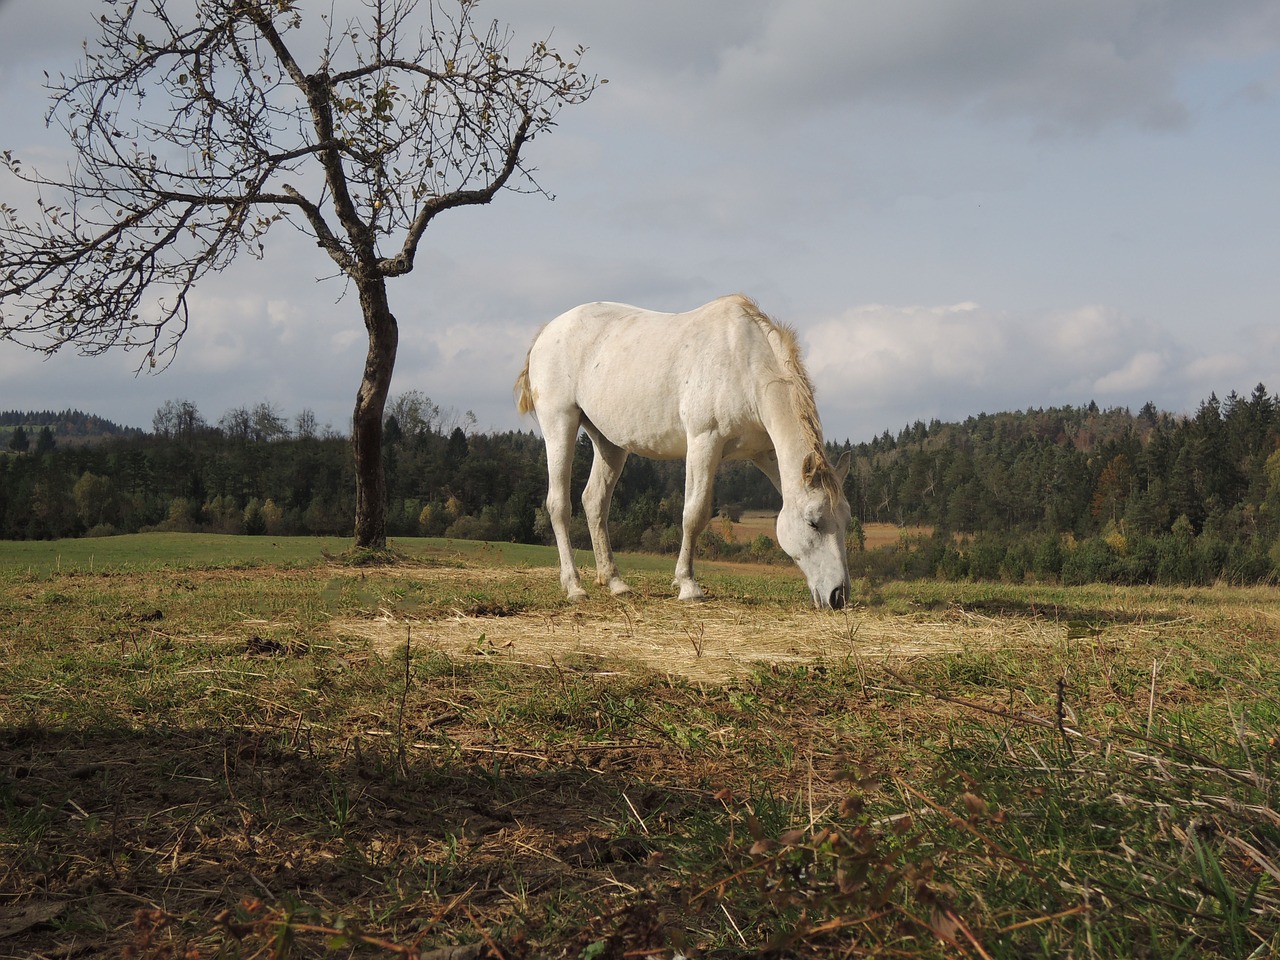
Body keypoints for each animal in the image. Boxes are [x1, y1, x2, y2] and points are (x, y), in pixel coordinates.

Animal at [509, 293, 849, 609]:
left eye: (845, 520)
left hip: (609, 443)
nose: (839, 596)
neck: (745, 362)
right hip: (560, 425)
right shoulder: (703, 442)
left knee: (594, 502)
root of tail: (547, 332)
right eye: (813, 522)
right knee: (559, 505)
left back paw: (616, 582)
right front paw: (688, 585)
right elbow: (694, 514)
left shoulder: (765, 454)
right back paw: (574, 586)